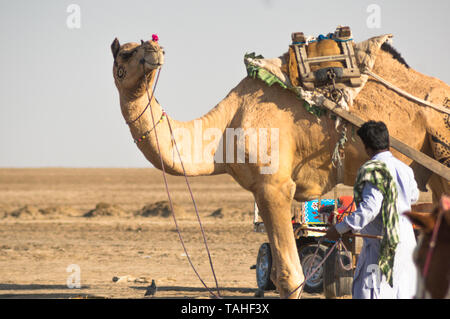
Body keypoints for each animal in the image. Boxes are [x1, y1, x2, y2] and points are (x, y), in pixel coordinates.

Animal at [110, 33, 450, 298]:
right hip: (434, 174)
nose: (156, 50)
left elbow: (289, 277)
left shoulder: (273, 185)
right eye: (125, 52)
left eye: (136, 48)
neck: (224, 130)